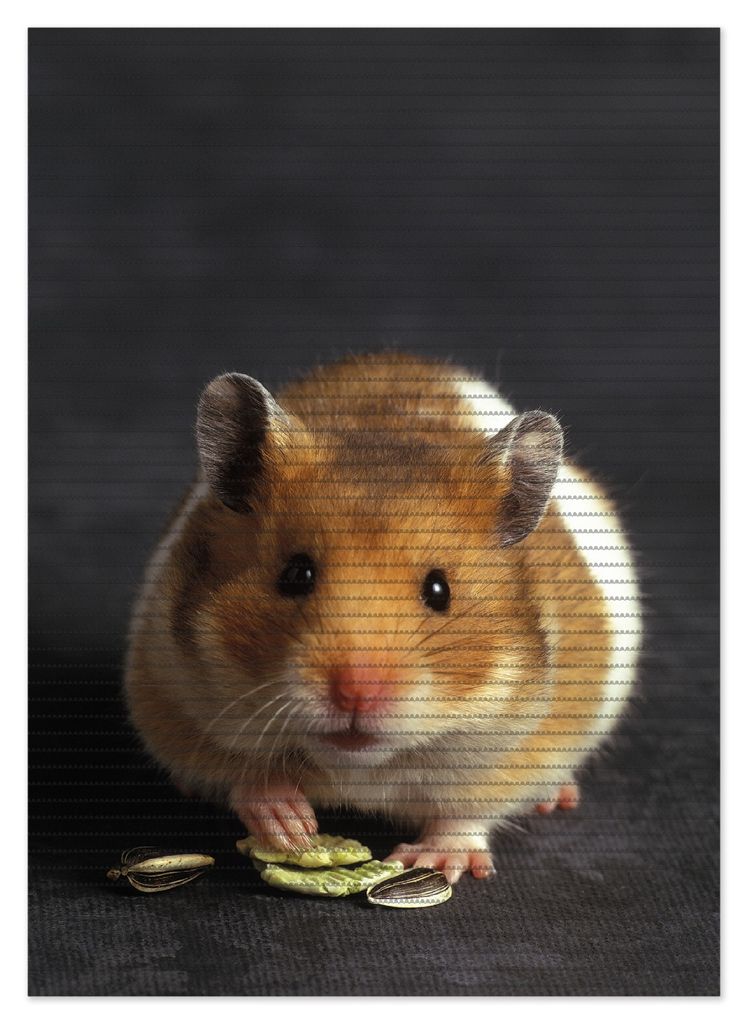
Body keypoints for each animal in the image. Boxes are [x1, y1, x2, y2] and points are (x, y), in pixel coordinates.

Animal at [125, 352, 641, 884]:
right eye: (295, 574)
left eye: (439, 590)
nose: (357, 693)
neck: (359, 764)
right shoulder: (171, 693)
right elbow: (242, 775)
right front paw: (290, 827)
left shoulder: (516, 748)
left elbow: (465, 813)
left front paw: (432, 862)